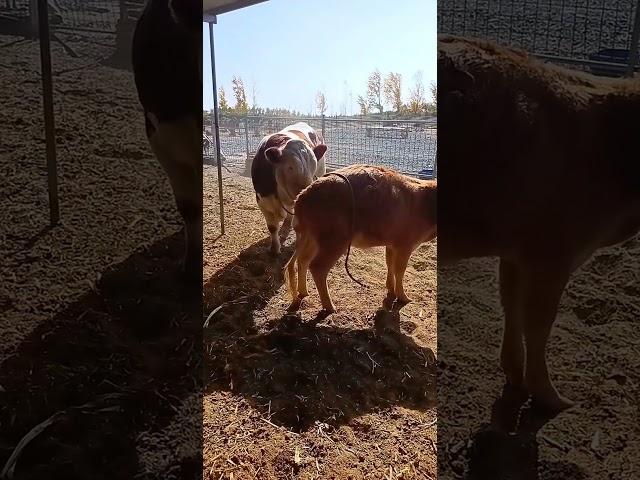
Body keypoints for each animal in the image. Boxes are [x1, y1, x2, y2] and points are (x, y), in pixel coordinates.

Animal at [288, 165, 438, 314]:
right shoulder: (405, 245)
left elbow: (389, 264)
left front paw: (391, 289)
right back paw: (330, 307)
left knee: (303, 260)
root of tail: (301, 197)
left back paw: (304, 292)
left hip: (312, 238)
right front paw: (404, 298)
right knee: (317, 267)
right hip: (335, 241)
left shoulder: (391, 244)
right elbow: (399, 270)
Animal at [438, 35, 640, 412]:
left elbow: (511, 305)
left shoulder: (517, 251)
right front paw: (558, 400)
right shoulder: (552, 251)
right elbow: (539, 323)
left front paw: (515, 379)